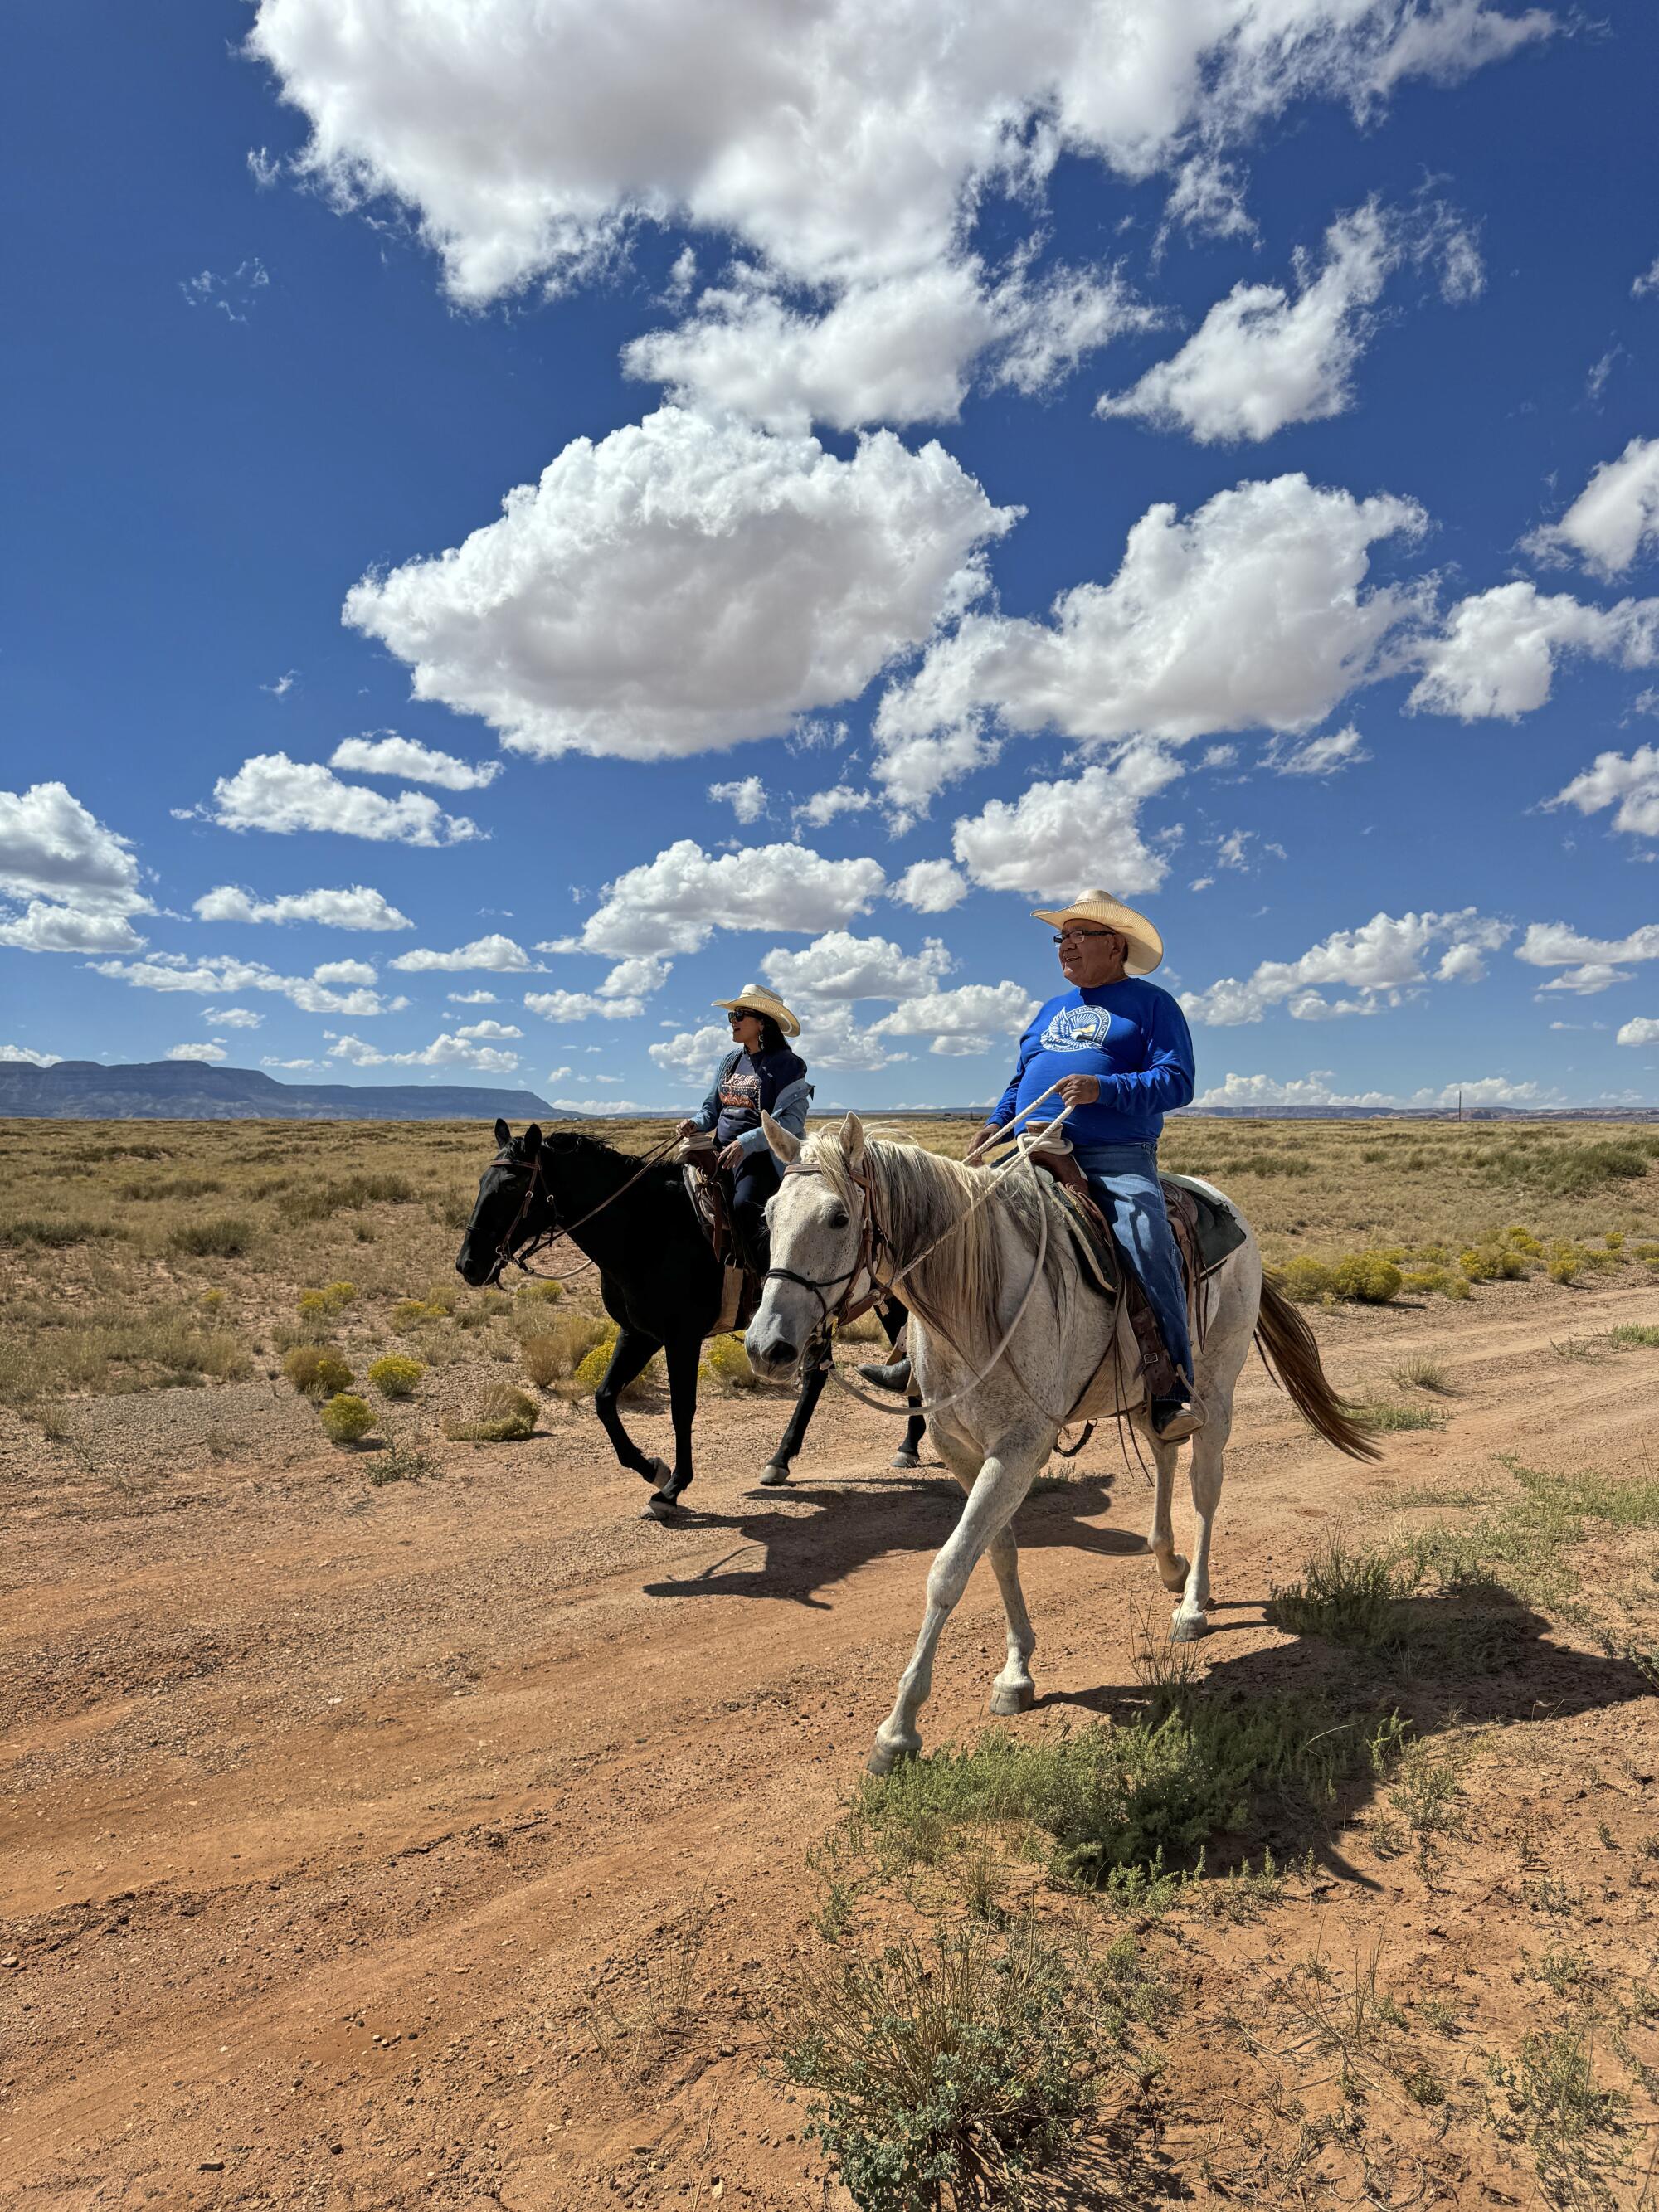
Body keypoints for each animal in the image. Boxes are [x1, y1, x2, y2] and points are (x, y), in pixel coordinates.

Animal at [458, 1123, 924, 1521]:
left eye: (512, 1186)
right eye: (480, 1182)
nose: (468, 1264)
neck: (646, 1230)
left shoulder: (682, 1338)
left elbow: (682, 1408)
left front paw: (672, 1488)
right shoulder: (639, 1333)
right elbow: (604, 1398)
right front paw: (651, 1468)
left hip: (882, 1299)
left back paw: (909, 1443)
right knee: (818, 1375)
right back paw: (781, 1460)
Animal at [752, 1115, 1380, 1769]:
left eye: (837, 1218)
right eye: (768, 1214)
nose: (766, 1346)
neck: (975, 1300)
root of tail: (1224, 1204)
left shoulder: (1021, 1447)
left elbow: (949, 1569)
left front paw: (898, 1729)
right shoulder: (963, 1451)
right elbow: (998, 1553)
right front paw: (1016, 1673)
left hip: (1218, 1384)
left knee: (1205, 1489)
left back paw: (1193, 1604)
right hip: (1152, 1394)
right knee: (1165, 1452)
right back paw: (1168, 1563)